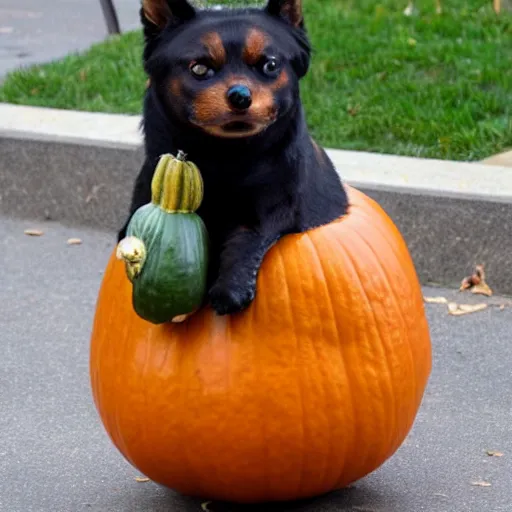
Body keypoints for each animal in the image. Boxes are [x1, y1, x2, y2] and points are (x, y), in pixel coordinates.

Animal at [118, 0, 350, 316]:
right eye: (200, 68)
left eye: (270, 65)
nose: (240, 95)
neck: (224, 155)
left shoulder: (271, 208)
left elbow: (245, 237)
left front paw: (230, 287)